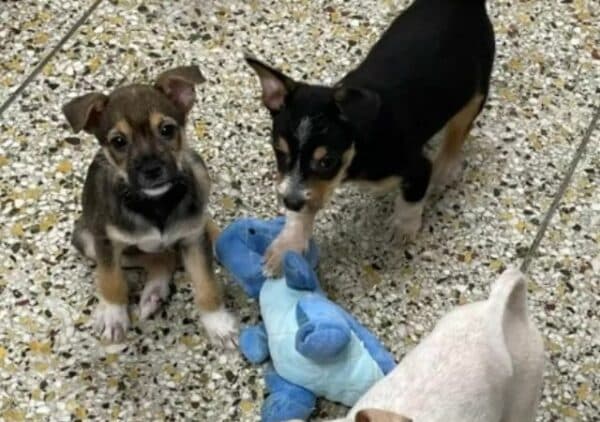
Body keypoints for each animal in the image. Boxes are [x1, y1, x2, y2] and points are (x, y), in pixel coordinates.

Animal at [62, 66, 237, 346]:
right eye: (118, 141)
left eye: (167, 130)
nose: (152, 169)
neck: (156, 203)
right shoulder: (105, 242)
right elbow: (110, 280)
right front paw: (113, 315)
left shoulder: (193, 240)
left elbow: (206, 284)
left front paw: (218, 324)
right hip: (85, 239)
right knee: (161, 258)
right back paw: (153, 292)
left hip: (197, 170)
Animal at [246, 0, 494, 274]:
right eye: (279, 152)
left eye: (326, 162)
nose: (288, 202)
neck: (358, 150)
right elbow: (303, 211)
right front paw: (286, 247)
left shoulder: (417, 167)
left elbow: (411, 199)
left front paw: (403, 227)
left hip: (476, 91)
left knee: (459, 130)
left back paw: (446, 166)